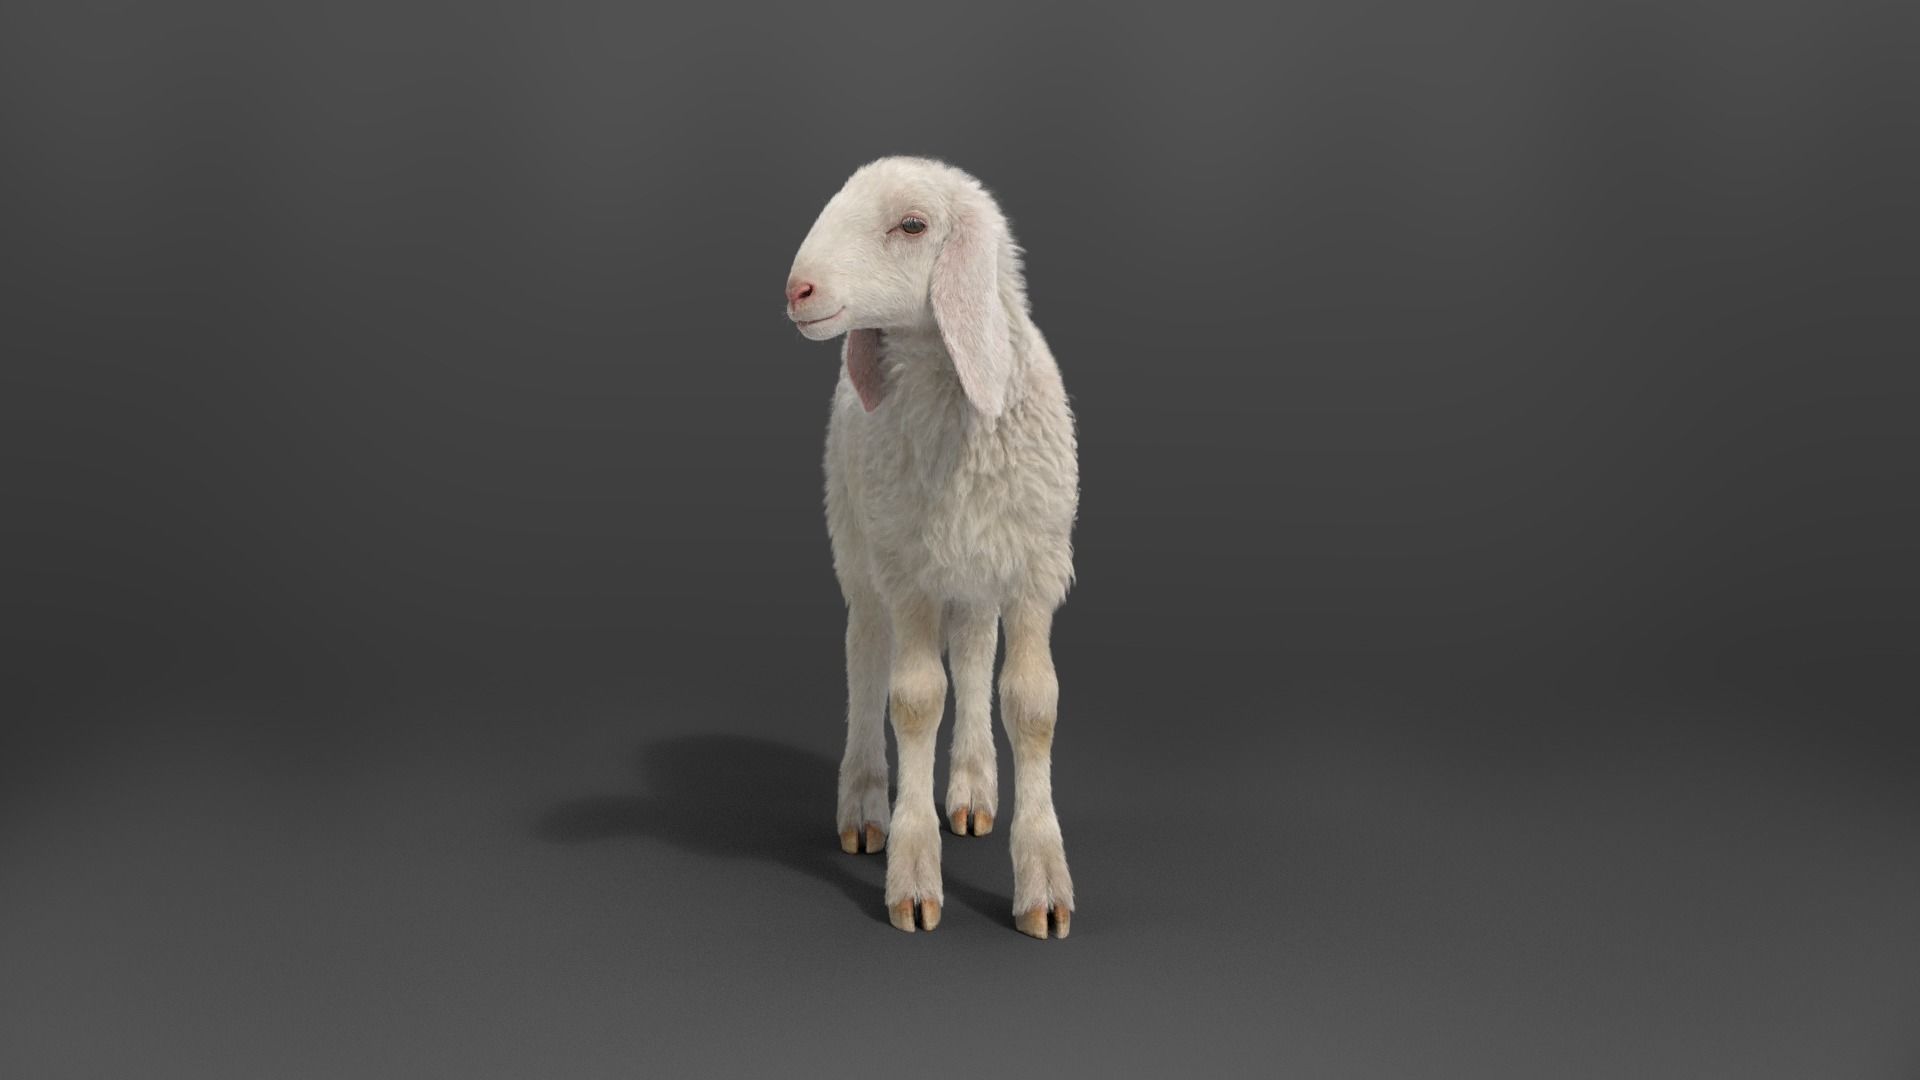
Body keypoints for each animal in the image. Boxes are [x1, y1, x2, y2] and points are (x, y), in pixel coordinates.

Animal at [785, 157, 1078, 939]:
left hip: (973, 569)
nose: (797, 290)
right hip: (860, 545)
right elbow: (915, 698)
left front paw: (1044, 882)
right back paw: (864, 804)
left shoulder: (1035, 568)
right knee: (865, 654)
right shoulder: (908, 573)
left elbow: (1032, 704)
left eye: (912, 225)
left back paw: (973, 788)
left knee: (974, 653)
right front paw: (913, 877)